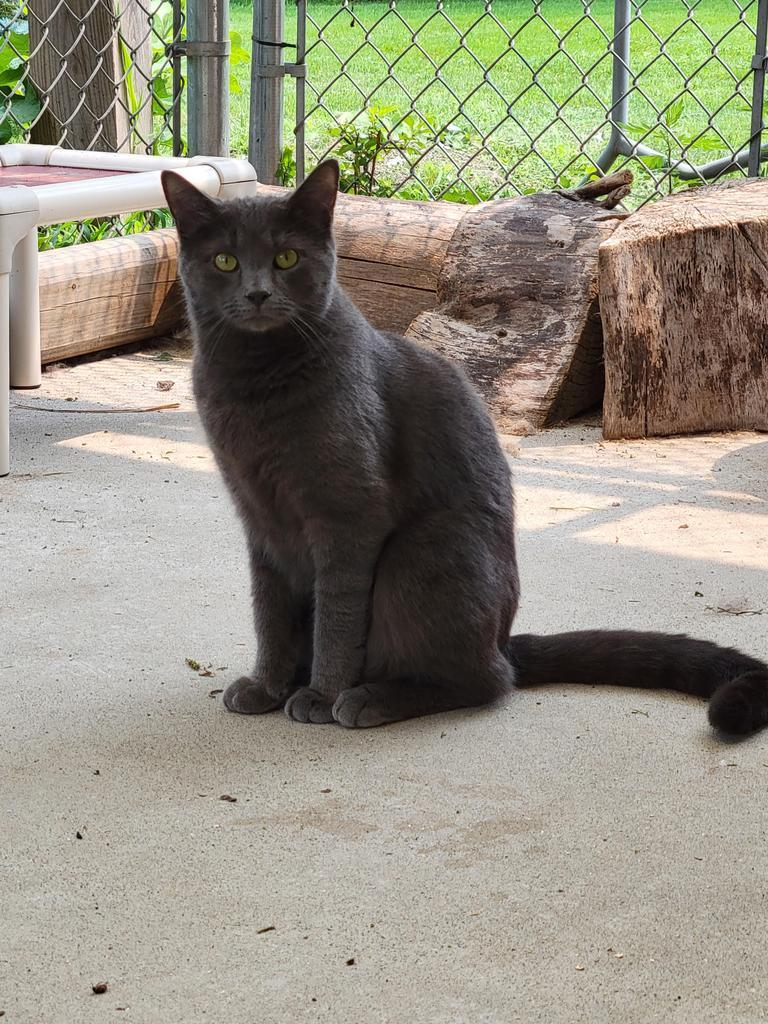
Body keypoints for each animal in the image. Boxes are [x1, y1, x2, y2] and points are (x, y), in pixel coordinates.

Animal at [162, 159, 768, 733]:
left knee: (485, 680)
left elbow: (336, 616)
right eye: (225, 262)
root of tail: (505, 638)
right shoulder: (259, 517)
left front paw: (320, 695)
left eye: (286, 258)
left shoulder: (348, 514)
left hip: (423, 550)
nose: (257, 292)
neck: (255, 386)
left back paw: (367, 699)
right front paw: (267, 685)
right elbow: (270, 614)